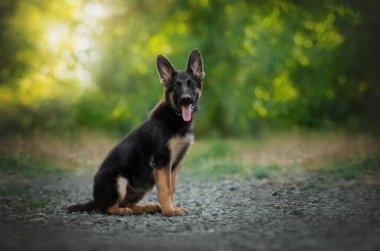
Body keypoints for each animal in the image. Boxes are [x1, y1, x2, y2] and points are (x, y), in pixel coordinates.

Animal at [68, 48, 205, 216]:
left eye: (191, 84)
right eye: (177, 86)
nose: (186, 99)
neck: (175, 117)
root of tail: (95, 200)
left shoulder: (175, 164)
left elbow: (172, 188)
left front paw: (172, 208)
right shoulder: (162, 162)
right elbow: (165, 190)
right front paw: (169, 211)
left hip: (143, 186)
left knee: (129, 203)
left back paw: (148, 207)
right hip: (118, 180)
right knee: (107, 208)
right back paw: (122, 210)